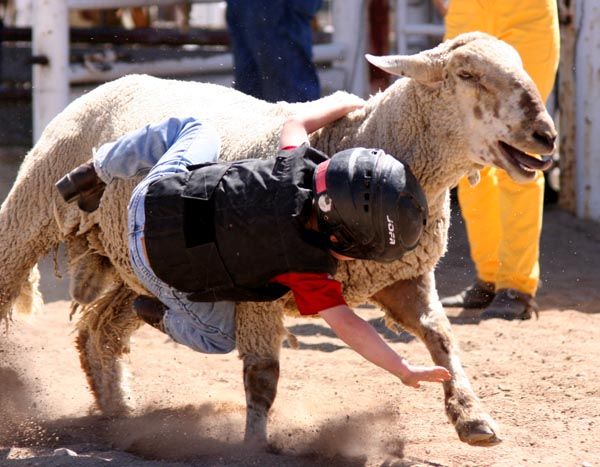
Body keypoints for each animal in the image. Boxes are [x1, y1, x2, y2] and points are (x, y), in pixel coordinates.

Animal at [0, 31, 556, 448]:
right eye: (467, 75)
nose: (547, 136)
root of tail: (110, 83)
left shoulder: (405, 277)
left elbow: (441, 338)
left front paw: (471, 416)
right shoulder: (261, 297)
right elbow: (263, 377)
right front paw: (252, 447)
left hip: (136, 265)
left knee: (101, 331)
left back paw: (122, 416)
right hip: (30, 213)